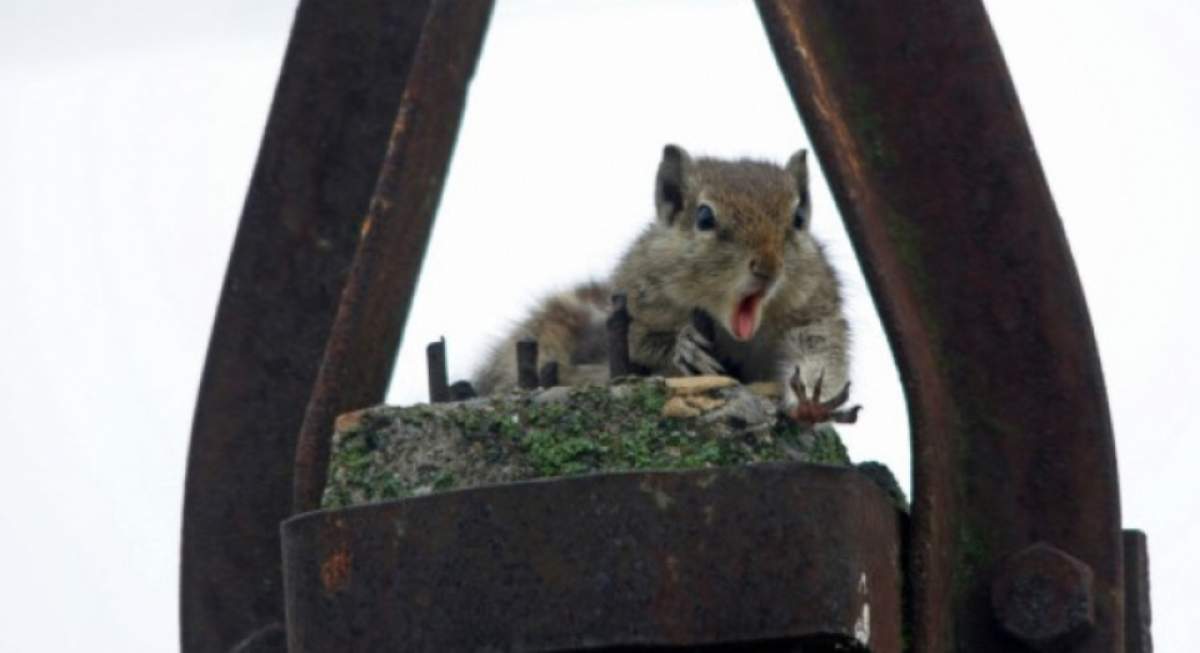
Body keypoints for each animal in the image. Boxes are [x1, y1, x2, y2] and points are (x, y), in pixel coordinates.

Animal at [472, 144, 859, 422]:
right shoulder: (636, 305)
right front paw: (683, 345)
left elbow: (821, 353)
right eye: (704, 216)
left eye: (798, 218)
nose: (768, 267)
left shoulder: (814, 313)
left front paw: (811, 403)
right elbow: (640, 343)